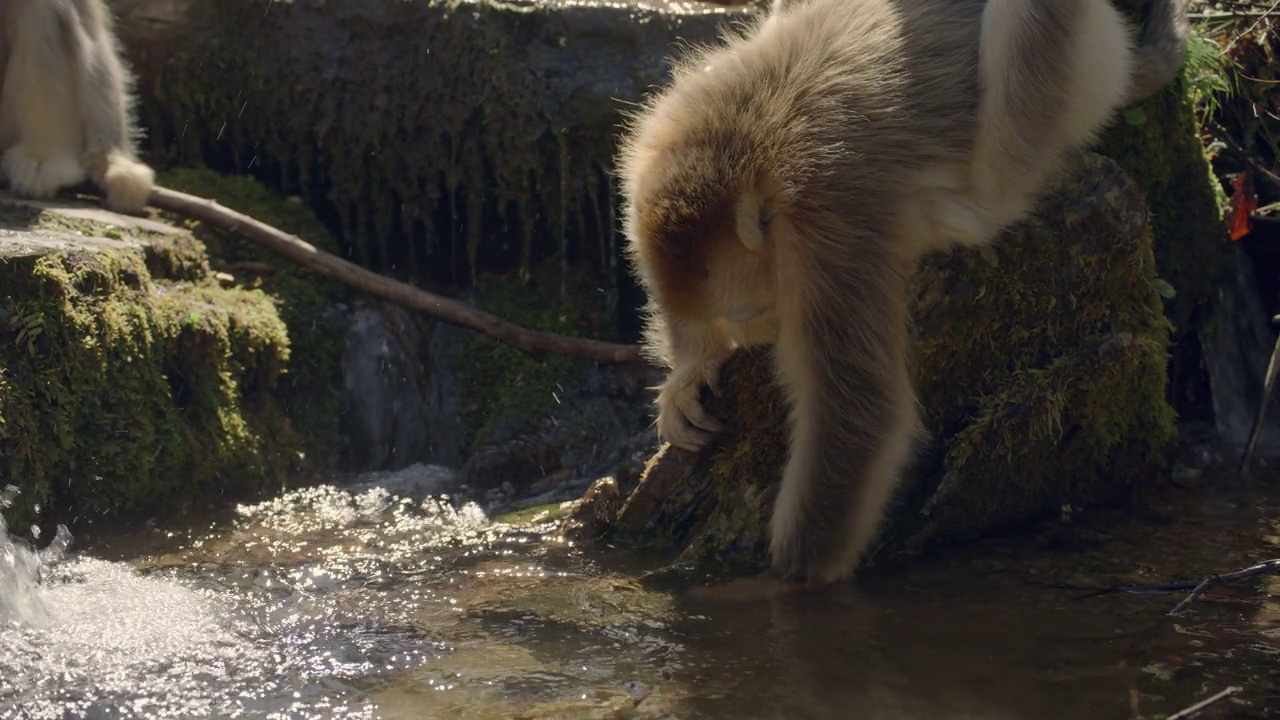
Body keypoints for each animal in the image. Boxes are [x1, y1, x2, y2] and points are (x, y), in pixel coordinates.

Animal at [619, 0, 1187, 584]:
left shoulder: (827, 220)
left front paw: (792, 583)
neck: (747, 139)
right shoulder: (651, 149)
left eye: (753, 310)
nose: (752, 326)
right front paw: (692, 366)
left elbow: (862, 413)